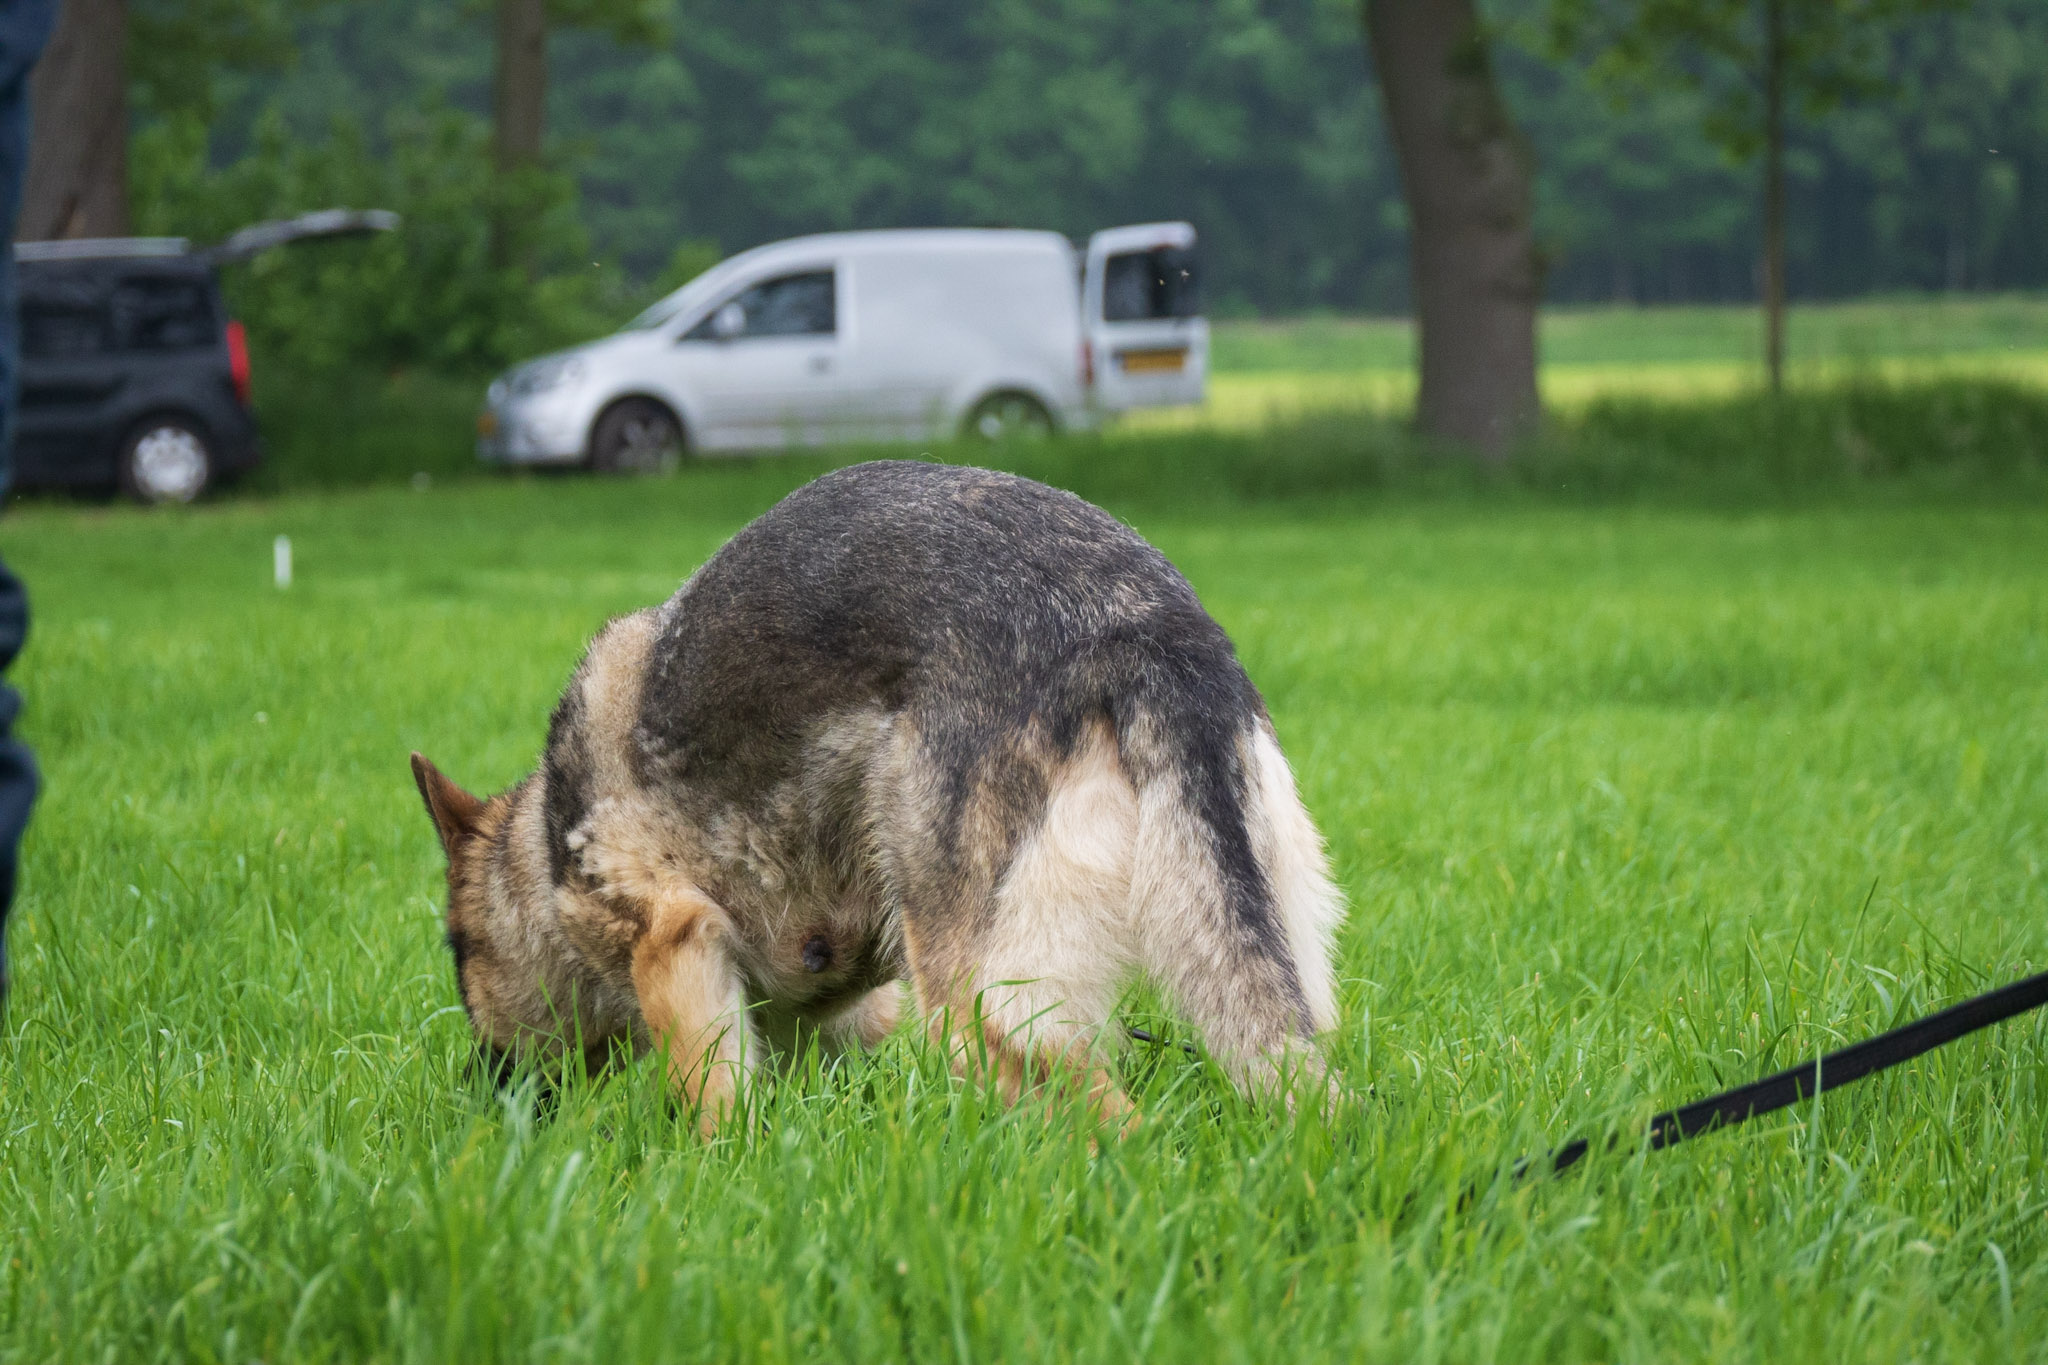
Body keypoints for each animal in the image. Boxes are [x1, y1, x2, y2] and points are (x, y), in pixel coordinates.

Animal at [413, 464, 1343, 1129]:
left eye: (457, 949)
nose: (480, 1089)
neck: (538, 858)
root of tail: (1148, 624)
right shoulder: (838, 1011)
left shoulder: (676, 943)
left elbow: (712, 1113)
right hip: (1264, 964)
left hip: (977, 1013)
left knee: (1118, 1125)